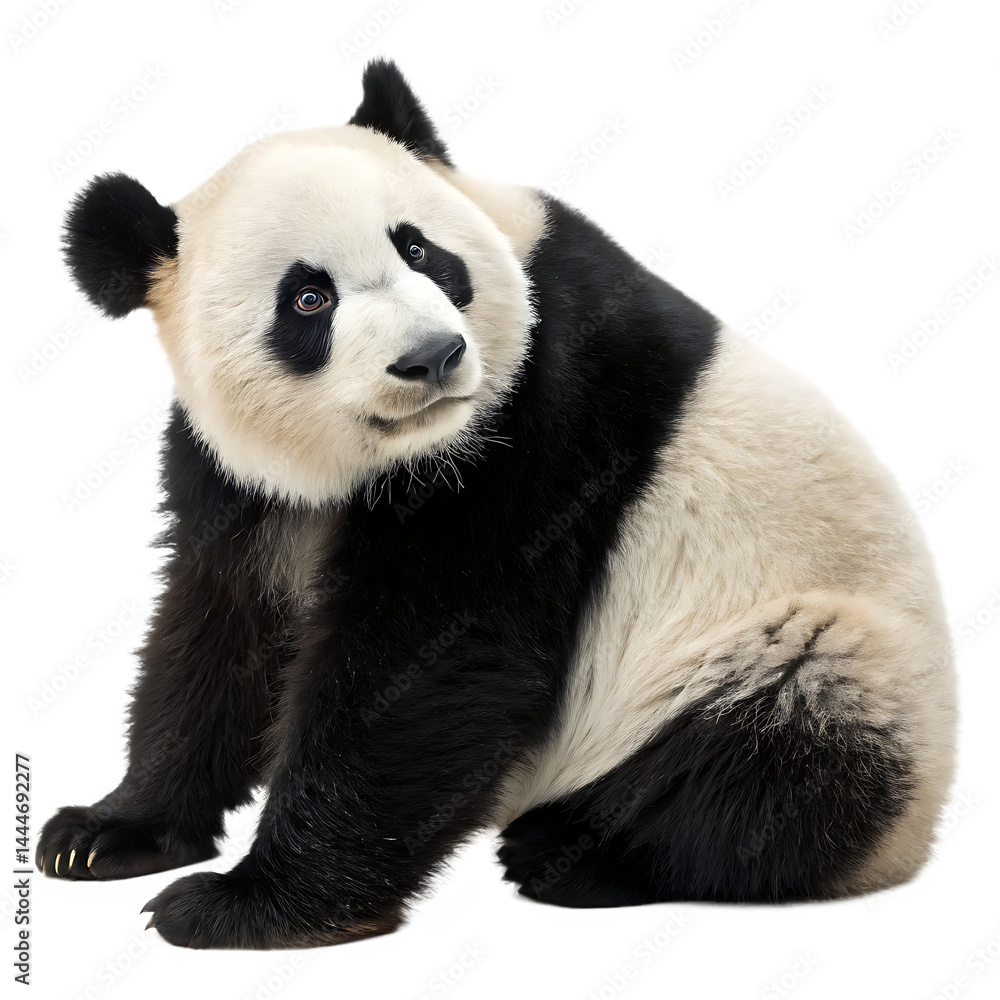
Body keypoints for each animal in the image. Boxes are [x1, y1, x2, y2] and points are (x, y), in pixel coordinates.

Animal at [37, 59, 956, 949]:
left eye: (419, 250)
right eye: (308, 299)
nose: (433, 357)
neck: (381, 459)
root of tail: (913, 846)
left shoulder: (543, 411)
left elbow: (432, 660)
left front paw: (250, 905)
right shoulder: (236, 479)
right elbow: (217, 628)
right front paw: (108, 831)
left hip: (805, 643)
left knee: (765, 759)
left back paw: (574, 850)